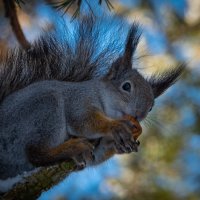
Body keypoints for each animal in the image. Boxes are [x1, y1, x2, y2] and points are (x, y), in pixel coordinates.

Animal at [0, 14, 184, 182]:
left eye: (152, 106)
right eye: (126, 86)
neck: (101, 99)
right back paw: (72, 147)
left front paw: (118, 142)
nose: (139, 114)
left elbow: (95, 156)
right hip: (45, 109)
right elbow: (84, 121)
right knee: (35, 153)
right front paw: (115, 127)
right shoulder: (79, 100)